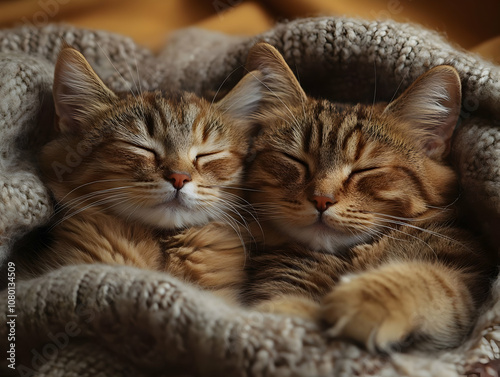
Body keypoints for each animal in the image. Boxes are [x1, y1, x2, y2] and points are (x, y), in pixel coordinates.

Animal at [239, 44, 496, 352]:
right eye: (295, 160)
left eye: (366, 169)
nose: (322, 200)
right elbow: (282, 307)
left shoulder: (469, 278)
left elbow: (433, 280)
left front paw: (364, 300)